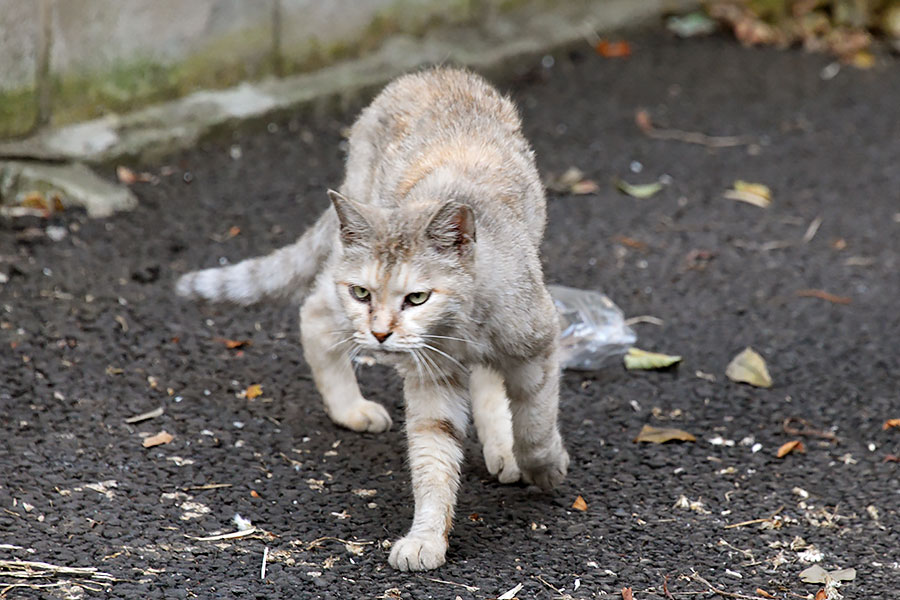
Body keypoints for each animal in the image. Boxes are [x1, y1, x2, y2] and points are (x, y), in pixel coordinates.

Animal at [176, 67, 568, 572]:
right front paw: (427, 537)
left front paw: (542, 464)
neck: (462, 329)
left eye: (417, 298)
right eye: (363, 293)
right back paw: (350, 409)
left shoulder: (538, 347)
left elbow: (535, 423)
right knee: (313, 314)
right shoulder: (430, 379)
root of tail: (429, 73)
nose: (381, 333)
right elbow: (433, 458)